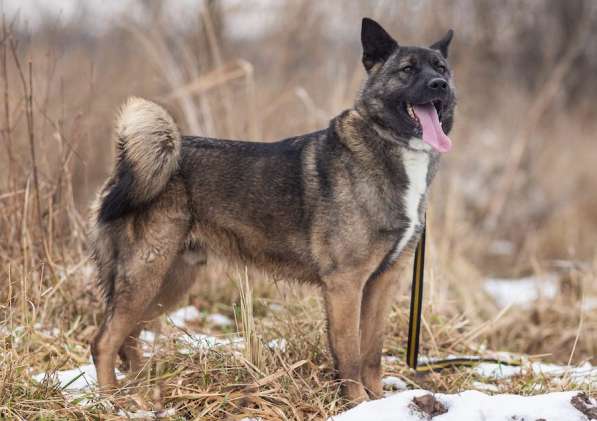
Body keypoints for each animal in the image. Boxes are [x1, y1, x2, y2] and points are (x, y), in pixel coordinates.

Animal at [88, 18, 454, 402]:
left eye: (441, 68)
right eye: (407, 69)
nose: (439, 85)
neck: (389, 147)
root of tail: (125, 166)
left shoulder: (383, 282)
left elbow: (372, 353)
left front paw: (379, 402)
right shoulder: (346, 284)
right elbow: (351, 357)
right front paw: (357, 404)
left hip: (169, 281)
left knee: (128, 338)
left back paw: (140, 390)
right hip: (145, 275)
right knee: (104, 341)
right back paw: (113, 401)